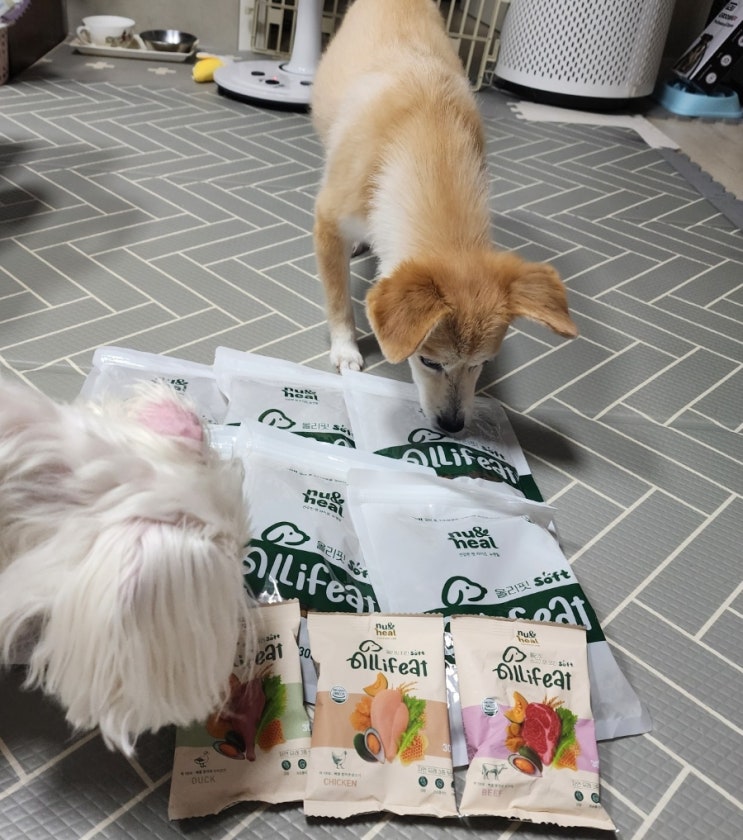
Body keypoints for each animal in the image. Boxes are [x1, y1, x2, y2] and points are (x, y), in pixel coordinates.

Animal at [312, 0, 578, 433]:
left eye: (482, 364)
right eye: (428, 362)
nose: (453, 425)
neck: (429, 140)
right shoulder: (328, 223)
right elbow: (338, 299)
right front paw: (345, 348)